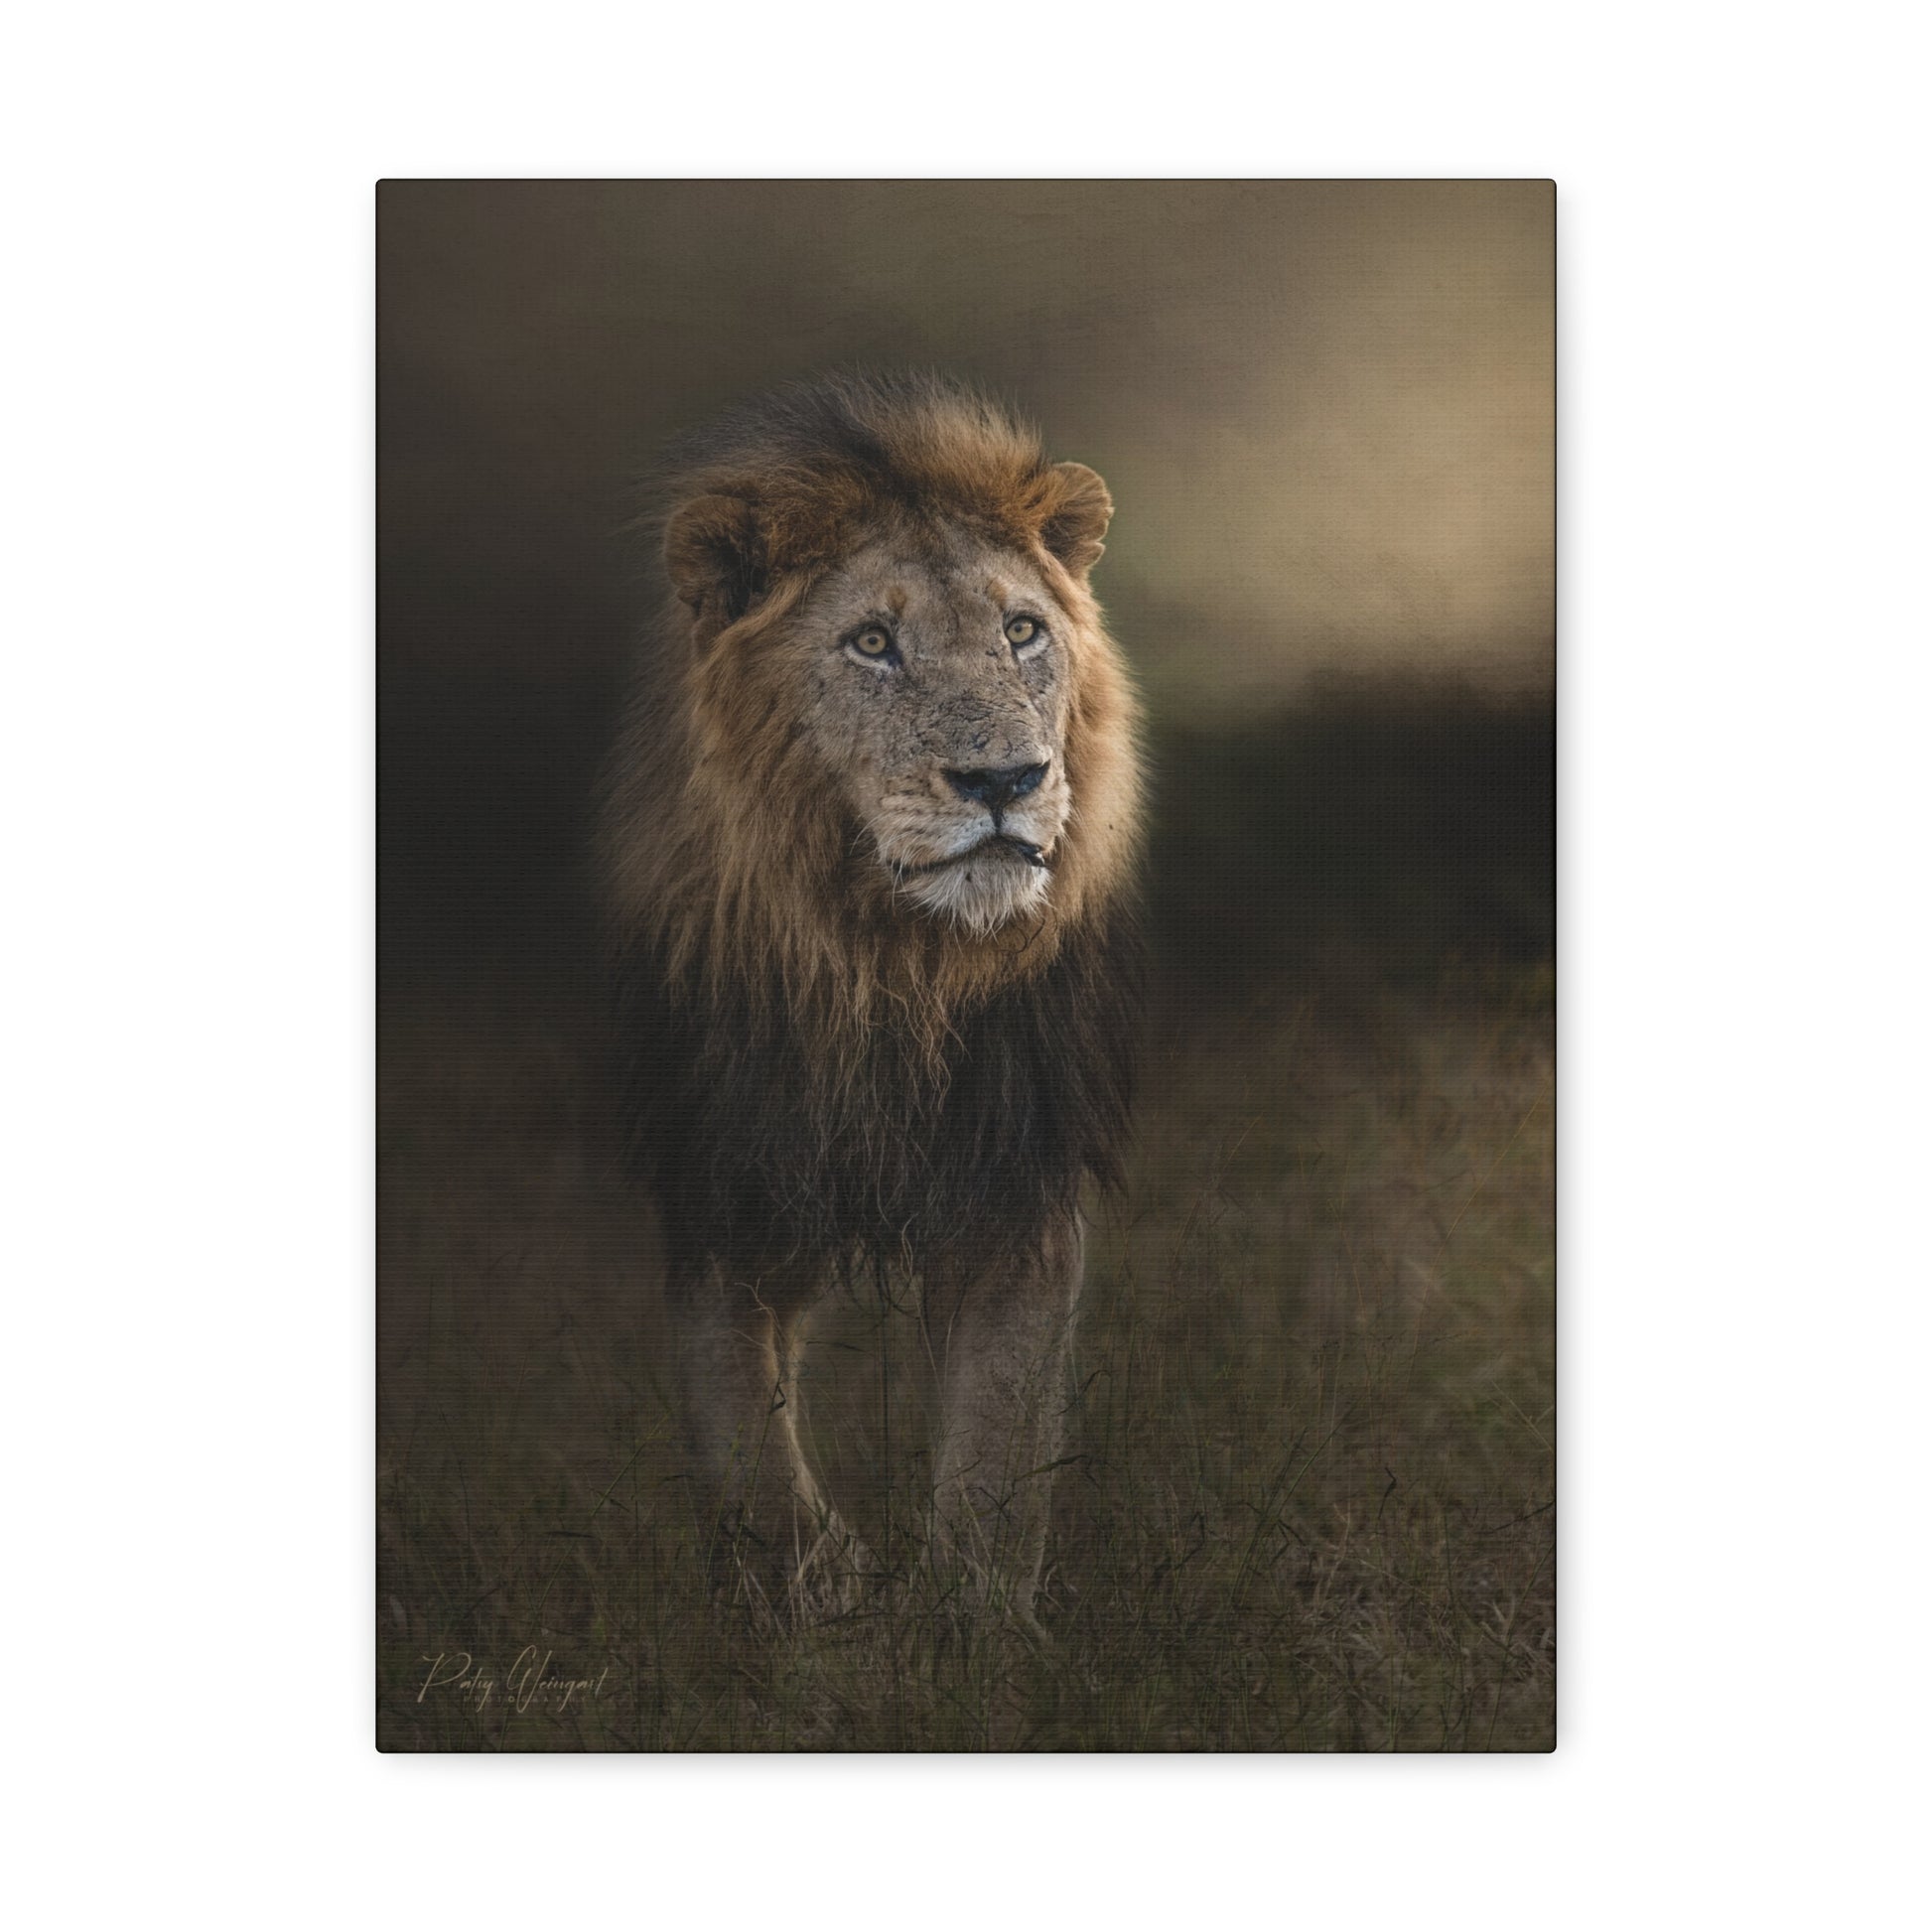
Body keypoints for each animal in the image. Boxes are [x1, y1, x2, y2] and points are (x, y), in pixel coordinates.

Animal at [600, 371, 1144, 1636]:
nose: (1004, 781)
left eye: (1020, 630)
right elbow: (741, 1427)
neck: (887, 969)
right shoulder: (719, 1185)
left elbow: (996, 1449)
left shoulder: (1015, 1189)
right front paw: (817, 1590)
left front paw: (972, 1631)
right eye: (871, 642)